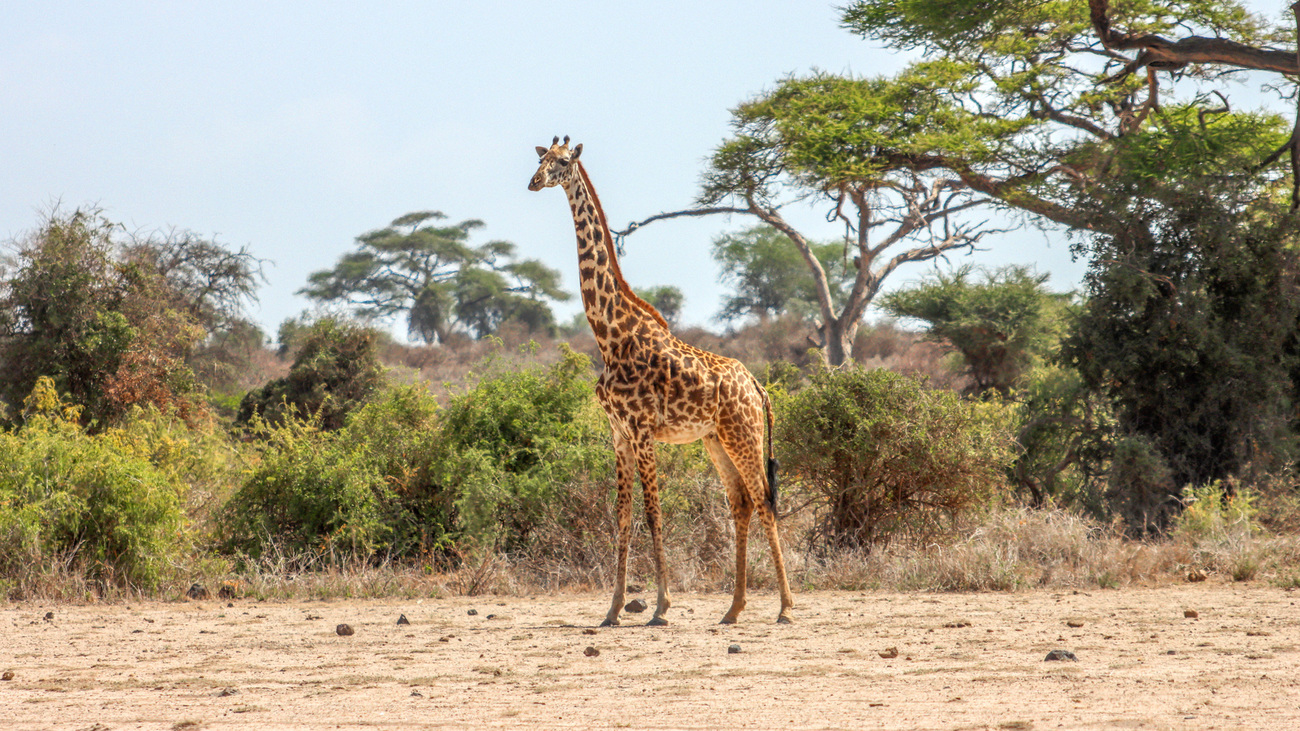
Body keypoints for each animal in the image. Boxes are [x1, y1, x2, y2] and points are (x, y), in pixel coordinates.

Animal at [525, 133, 790, 624]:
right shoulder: (618, 433)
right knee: (740, 502)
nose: (533, 182)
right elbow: (622, 517)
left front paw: (662, 607)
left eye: (563, 162)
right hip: (715, 439)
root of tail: (757, 386)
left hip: (744, 434)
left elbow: (653, 514)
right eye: (541, 158)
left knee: (763, 499)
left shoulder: (643, 430)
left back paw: (785, 606)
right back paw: (732, 610)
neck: (609, 336)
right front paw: (612, 609)